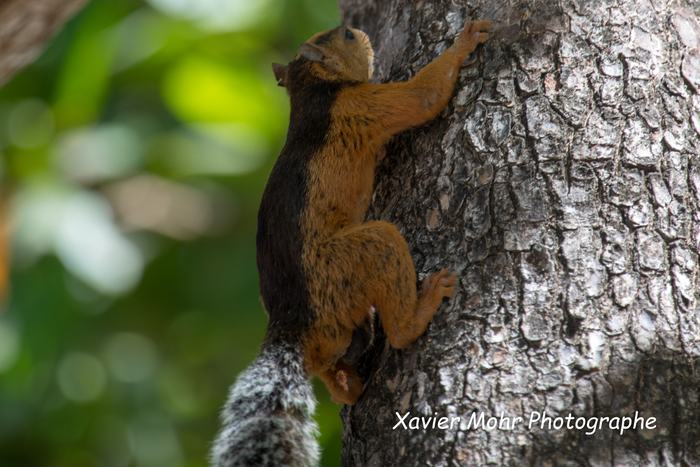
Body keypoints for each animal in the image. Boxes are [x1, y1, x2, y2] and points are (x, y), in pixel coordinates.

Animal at [212, 18, 490, 467]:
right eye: (343, 36)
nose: (358, 30)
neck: (313, 89)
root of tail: (292, 325)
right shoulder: (360, 105)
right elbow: (422, 98)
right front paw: (465, 41)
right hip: (355, 256)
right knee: (398, 324)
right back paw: (423, 305)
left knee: (332, 371)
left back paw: (349, 384)